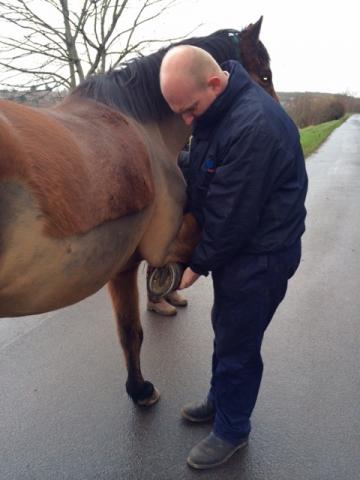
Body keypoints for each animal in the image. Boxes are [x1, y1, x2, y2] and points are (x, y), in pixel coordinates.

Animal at [0, 17, 278, 404]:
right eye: (265, 74)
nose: (282, 122)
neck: (143, 123)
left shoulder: (121, 266)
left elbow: (127, 330)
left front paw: (136, 386)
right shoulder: (155, 248)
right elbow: (137, 323)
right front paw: (143, 389)